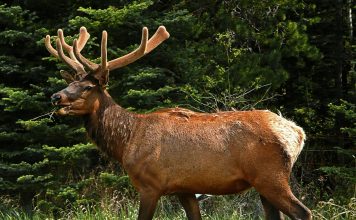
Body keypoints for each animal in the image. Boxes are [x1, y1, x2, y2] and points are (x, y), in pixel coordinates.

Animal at [45, 26, 312, 220]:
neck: (126, 141)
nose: (56, 97)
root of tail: (298, 133)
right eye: (71, 83)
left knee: (304, 213)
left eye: (88, 87)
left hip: (271, 176)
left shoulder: (150, 185)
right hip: (264, 183)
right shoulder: (185, 188)